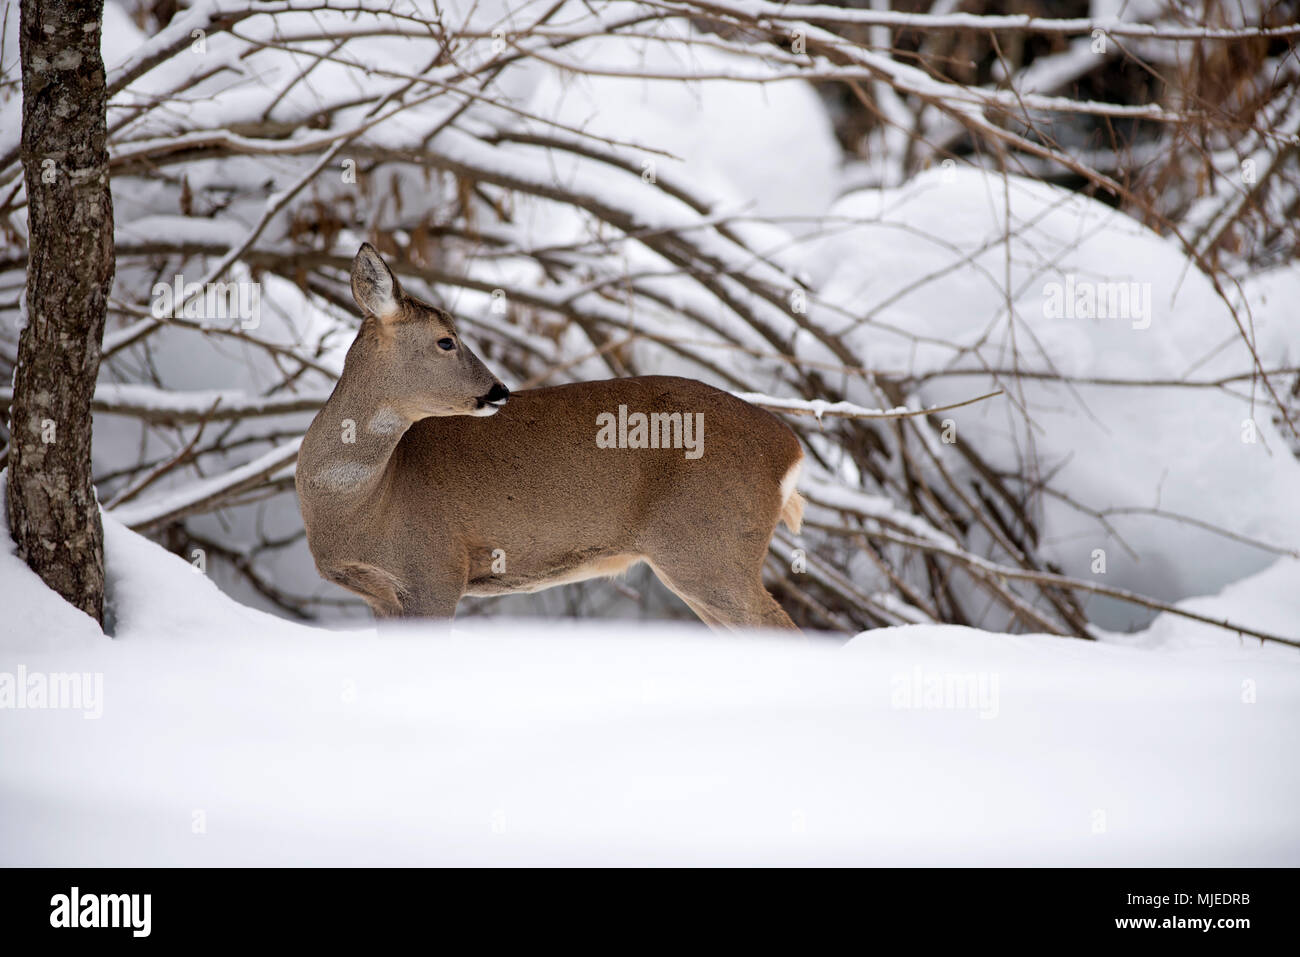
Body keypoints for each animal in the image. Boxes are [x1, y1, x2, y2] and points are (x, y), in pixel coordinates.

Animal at [297, 244, 800, 629]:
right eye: (446, 340)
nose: (499, 390)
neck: (364, 505)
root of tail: (790, 449)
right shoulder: (381, 596)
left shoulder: (435, 571)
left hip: (711, 547)